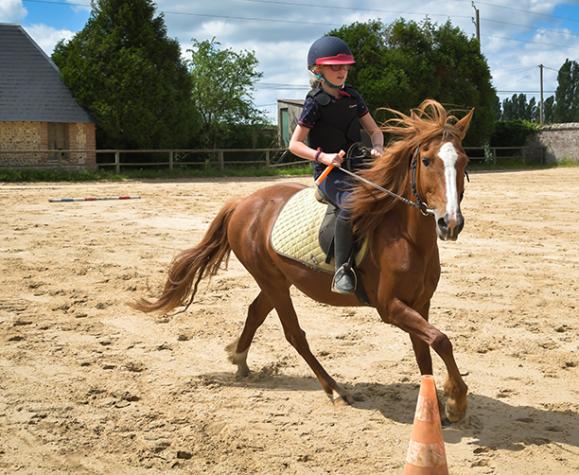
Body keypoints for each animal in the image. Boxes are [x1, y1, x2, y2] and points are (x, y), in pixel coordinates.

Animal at [134, 98, 474, 422]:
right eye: (427, 160)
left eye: (464, 161)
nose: (450, 223)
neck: (405, 236)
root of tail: (243, 202)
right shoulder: (390, 307)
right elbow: (441, 340)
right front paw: (456, 401)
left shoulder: (420, 303)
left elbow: (425, 352)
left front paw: (434, 407)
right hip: (271, 281)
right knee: (294, 334)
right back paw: (334, 390)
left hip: (276, 280)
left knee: (256, 312)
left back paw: (240, 359)